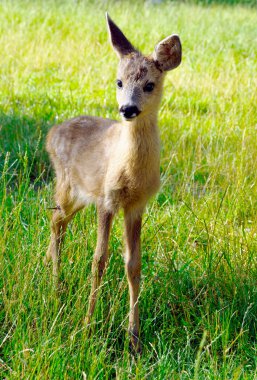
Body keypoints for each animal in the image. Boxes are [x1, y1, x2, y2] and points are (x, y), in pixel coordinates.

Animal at [45, 14, 181, 354]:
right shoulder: (107, 200)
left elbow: (133, 264)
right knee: (55, 221)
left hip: (80, 197)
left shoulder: (136, 206)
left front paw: (134, 338)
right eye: (119, 82)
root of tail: (51, 133)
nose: (128, 109)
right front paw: (86, 327)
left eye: (149, 84)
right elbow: (99, 260)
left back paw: (50, 270)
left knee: (58, 222)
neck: (130, 171)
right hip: (67, 185)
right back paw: (55, 284)